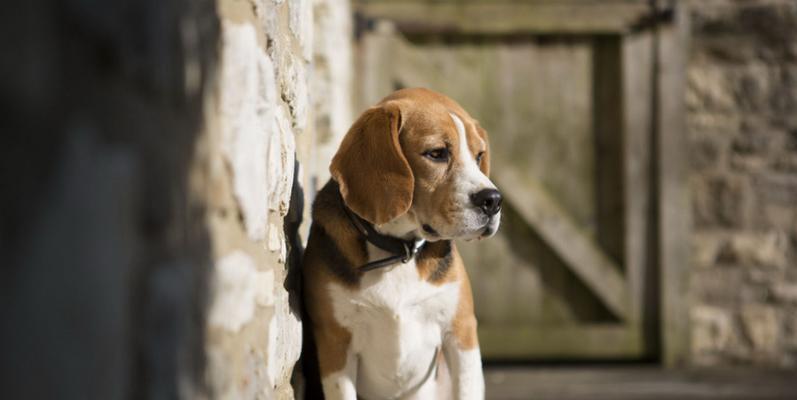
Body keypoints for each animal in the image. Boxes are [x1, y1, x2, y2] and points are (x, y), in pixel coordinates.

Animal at [302, 88, 500, 400]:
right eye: (437, 153)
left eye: (479, 156)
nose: (493, 200)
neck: (398, 252)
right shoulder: (336, 344)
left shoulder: (461, 331)